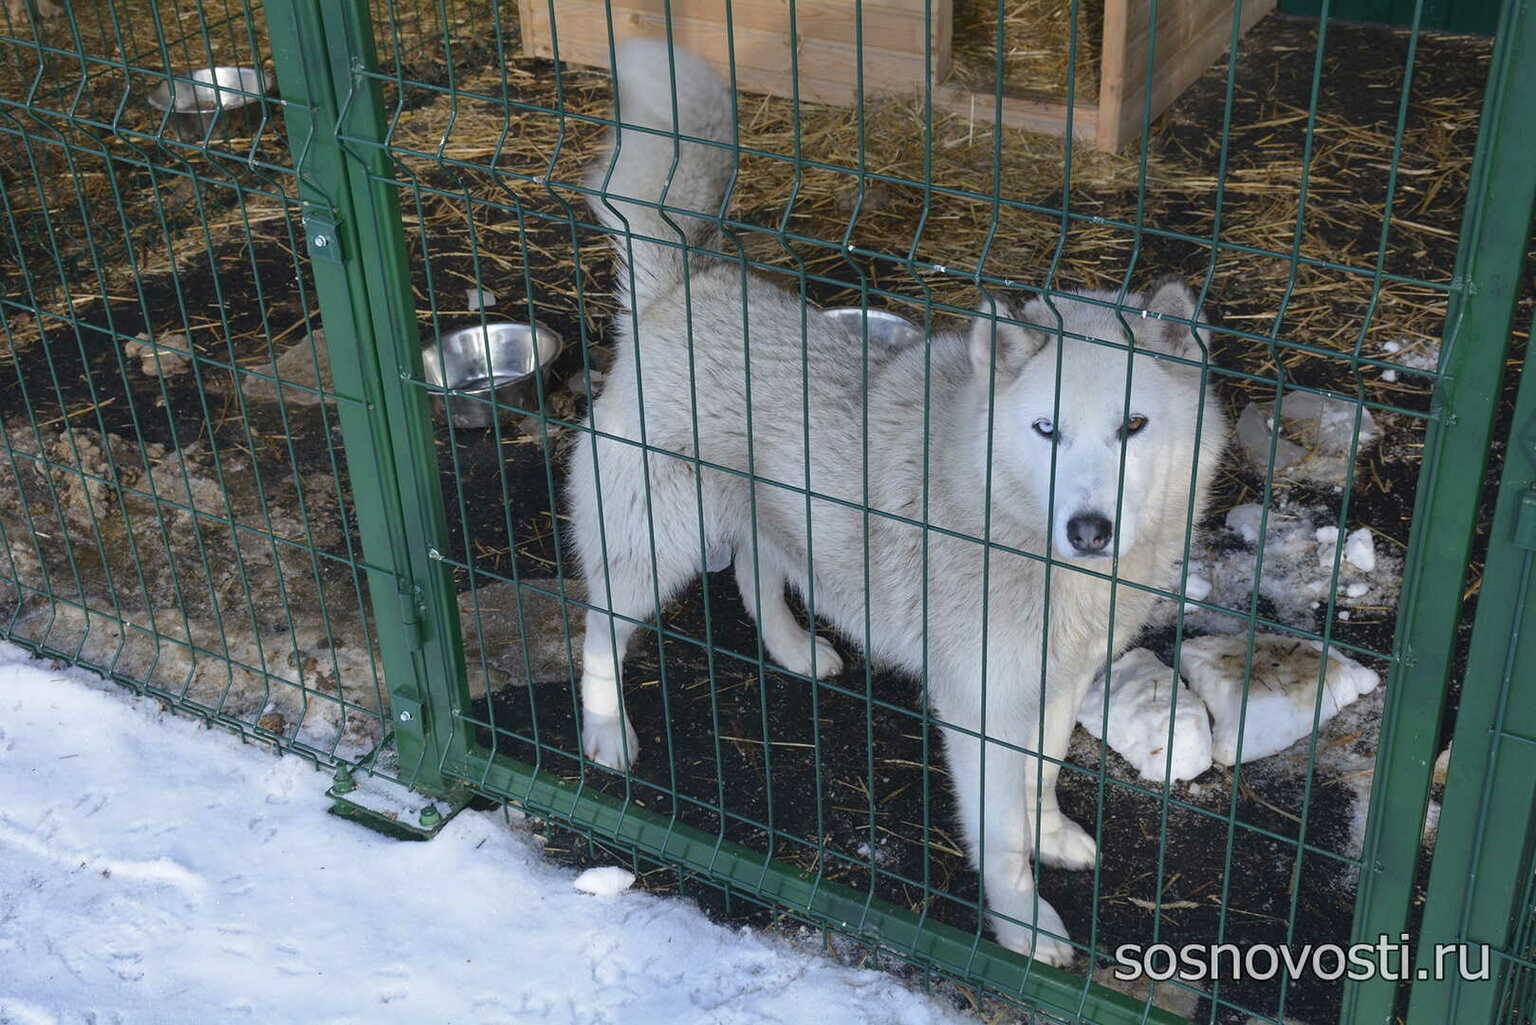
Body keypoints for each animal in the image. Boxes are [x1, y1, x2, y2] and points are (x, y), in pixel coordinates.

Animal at [571, 40, 1228, 965]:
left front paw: (1053, 835)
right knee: (599, 625)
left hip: (776, 513)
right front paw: (1026, 924)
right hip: (654, 547)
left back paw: (796, 652)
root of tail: (685, 288)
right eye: (1047, 429)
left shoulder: (1055, 685)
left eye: (1133, 425)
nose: (1090, 529)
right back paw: (605, 735)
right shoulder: (980, 707)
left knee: (753, 573)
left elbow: (1042, 774)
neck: (1010, 522)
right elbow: (998, 837)